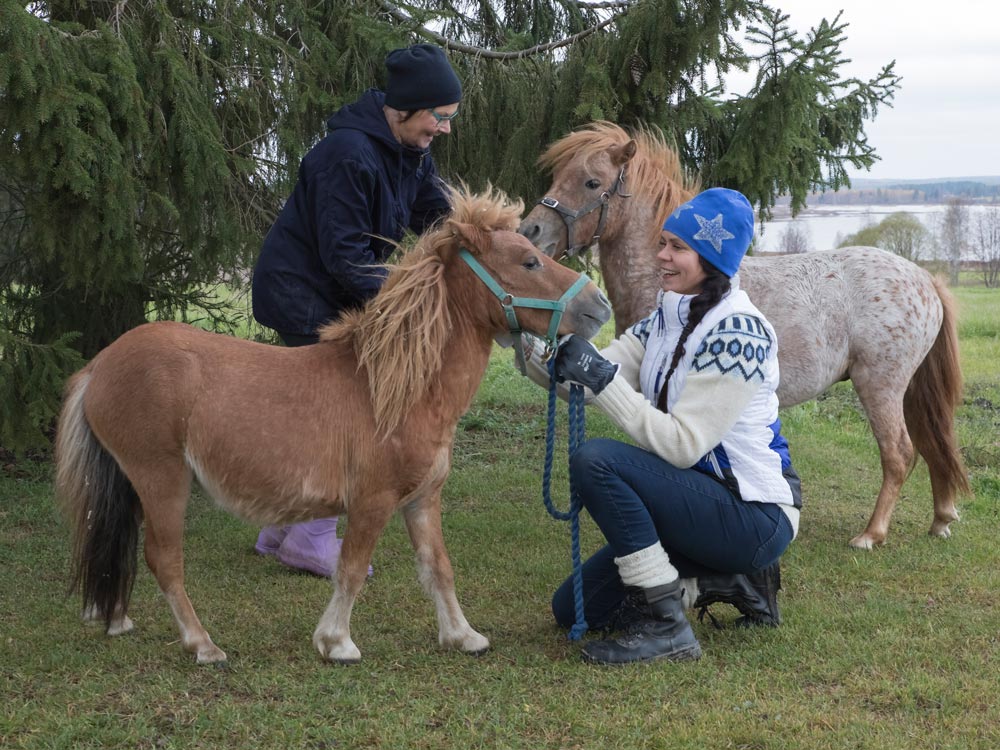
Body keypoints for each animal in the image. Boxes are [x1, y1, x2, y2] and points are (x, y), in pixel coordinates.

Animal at [60, 187, 616, 664]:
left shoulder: (422, 500)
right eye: (528, 261)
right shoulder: (373, 501)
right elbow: (350, 569)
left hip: (131, 482)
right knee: (164, 559)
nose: (599, 307)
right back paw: (202, 645)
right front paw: (336, 642)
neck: (393, 388)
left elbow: (438, 568)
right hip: (162, 479)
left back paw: (117, 620)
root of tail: (99, 365)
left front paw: (462, 635)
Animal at [520, 120, 972, 548]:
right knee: (934, 446)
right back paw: (941, 518)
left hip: (880, 386)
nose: (530, 232)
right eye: (557, 174)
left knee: (899, 453)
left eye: (591, 182)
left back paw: (871, 534)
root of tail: (925, 279)